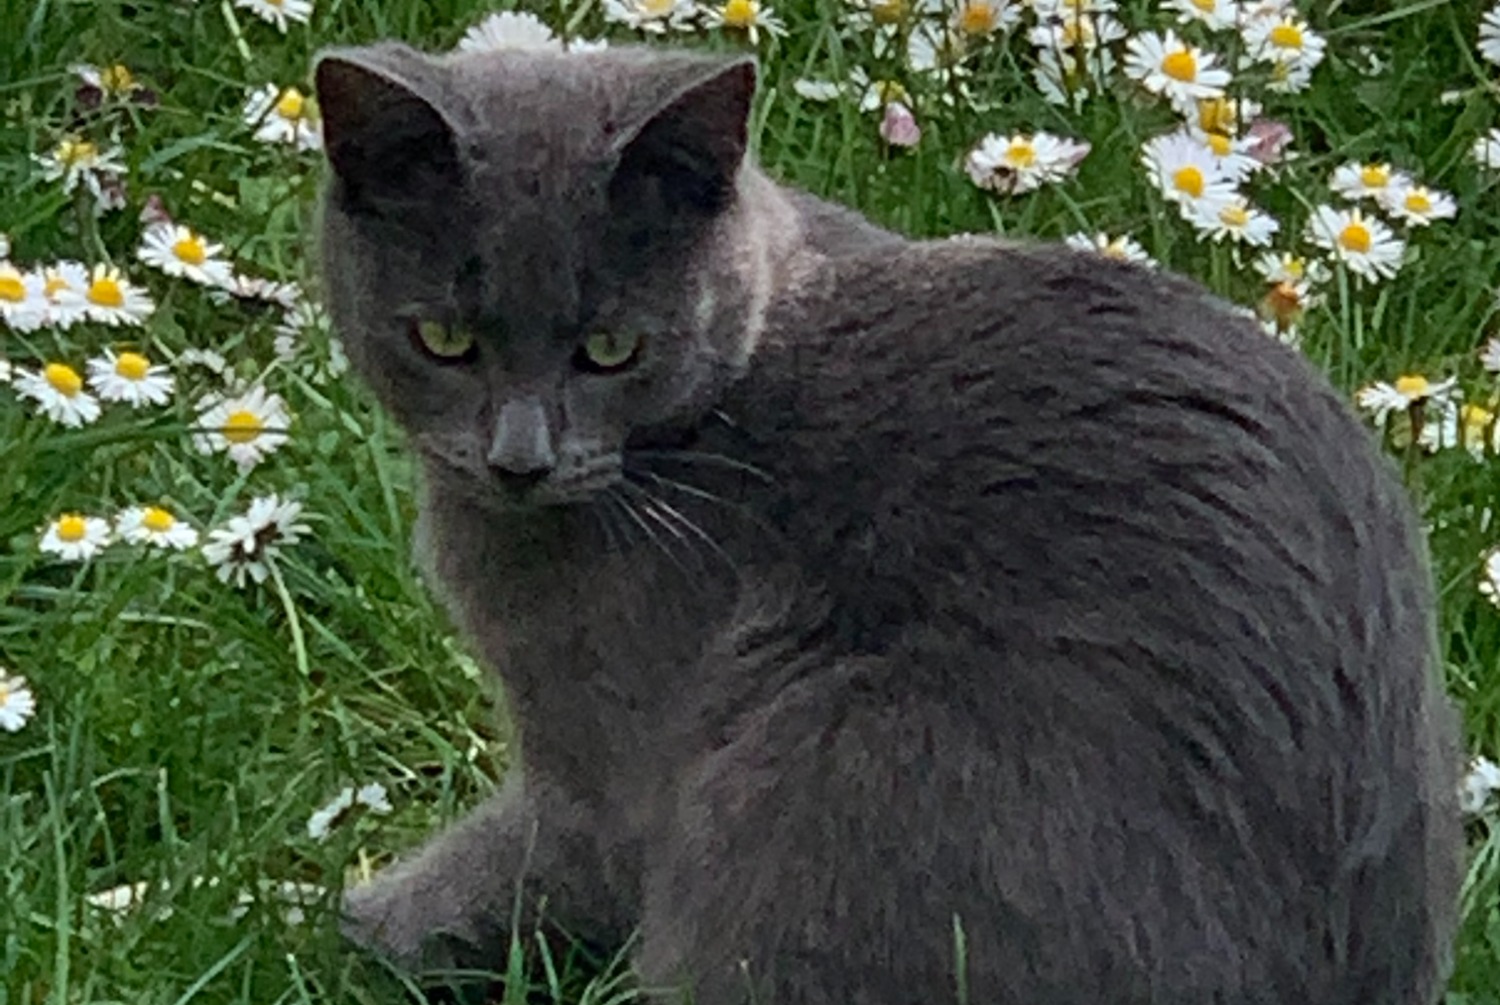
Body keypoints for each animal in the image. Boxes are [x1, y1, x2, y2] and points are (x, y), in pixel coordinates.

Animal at [313, 39, 1464, 1005]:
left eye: (610, 349)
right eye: (443, 339)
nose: (521, 459)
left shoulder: (600, 754)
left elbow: (522, 865)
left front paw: (347, 934)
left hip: (830, 755)